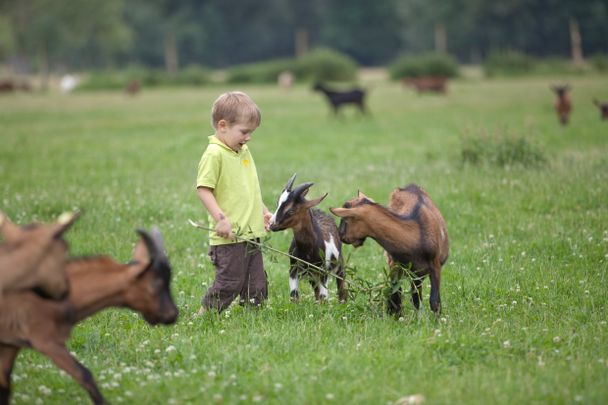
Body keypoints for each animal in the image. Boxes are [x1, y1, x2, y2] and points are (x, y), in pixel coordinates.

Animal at [1, 227, 178, 404]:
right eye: (157, 283)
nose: (173, 314)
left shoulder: (11, 343)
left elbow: (5, 386)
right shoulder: (46, 340)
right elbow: (84, 374)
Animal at [270, 172, 350, 302]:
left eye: (291, 210)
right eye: (278, 204)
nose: (271, 224)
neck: (308, 251)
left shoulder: (323, 272)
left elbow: (324, 297)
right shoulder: (294, 270)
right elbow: (294, 295)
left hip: (338, 264)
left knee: (341, 286)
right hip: (312, 275)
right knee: (316, 292)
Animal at [330, 185, 448, 314]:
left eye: (345, 219)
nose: (340, 236)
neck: (416, 235)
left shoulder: (435, 265)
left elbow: (434, 301)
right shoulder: (395, 264)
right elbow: (396, 294)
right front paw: (396, 315)